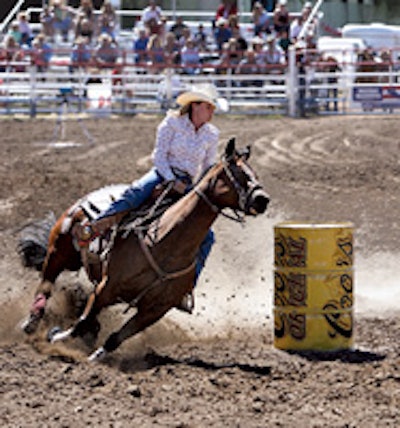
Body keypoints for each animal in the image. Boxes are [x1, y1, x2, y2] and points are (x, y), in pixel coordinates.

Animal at [18, 140, 268, 362]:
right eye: (238, 173)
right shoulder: (106, 288)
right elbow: (82, 322)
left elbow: (115, 338)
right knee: (45, 285)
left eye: (255, 172)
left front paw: (95, 357)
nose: (263, 199)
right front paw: (55, 336)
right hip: (57, 252)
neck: (165, 244)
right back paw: (30, 324)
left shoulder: (154, 310)